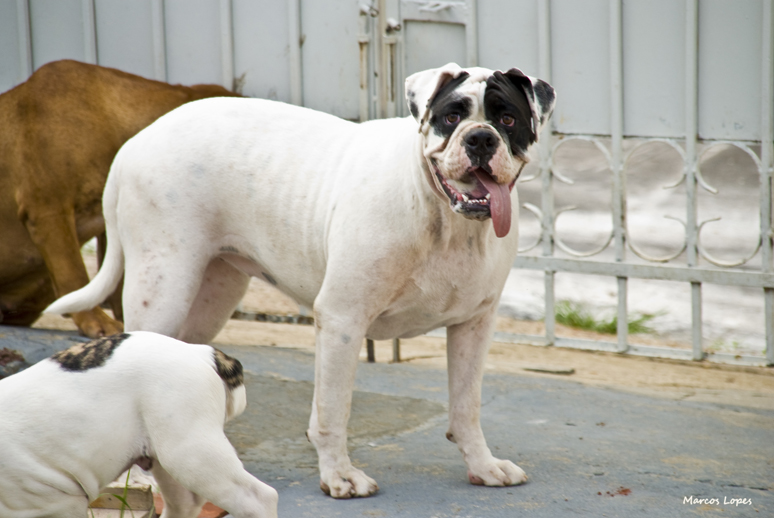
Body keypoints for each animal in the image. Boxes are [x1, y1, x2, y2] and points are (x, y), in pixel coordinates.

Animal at [0, 334, 278, 518]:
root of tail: (198, 352)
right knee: (185, 504)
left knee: (259, 499)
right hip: (168, 453)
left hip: (190, 453)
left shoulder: (58, 505)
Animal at [47, 63, 556, 502]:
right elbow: (333, 410)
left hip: (211, 295)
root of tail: (137, 140)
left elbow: (467, 406)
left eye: (508, 118)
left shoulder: (474, 326)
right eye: (452, 117)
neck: (444, 217)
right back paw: (139, 479)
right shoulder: (343, 321)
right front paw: (340, 477)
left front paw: (483, 466)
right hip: (164, 286)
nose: (480, 138)